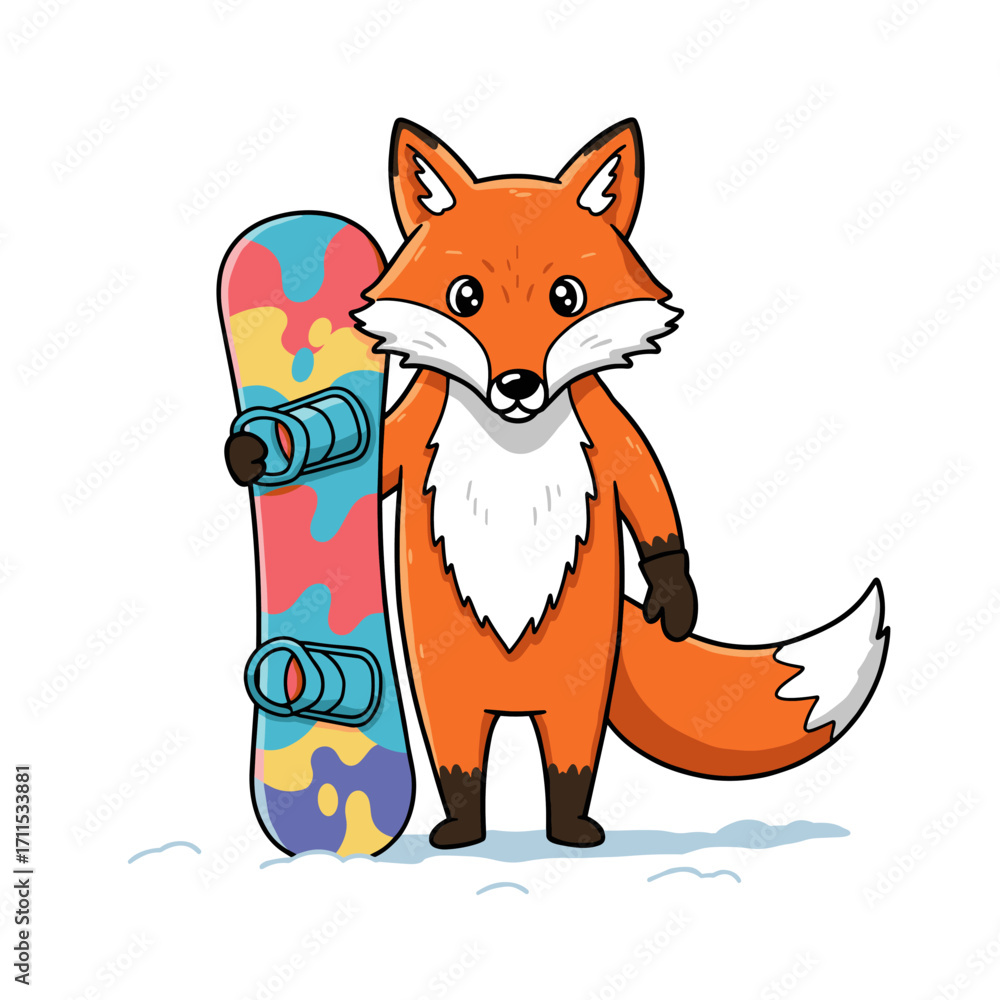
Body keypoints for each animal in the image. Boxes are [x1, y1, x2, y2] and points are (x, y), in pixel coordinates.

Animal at [226, 119, 889, 850]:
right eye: (466, 296)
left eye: (566, 297)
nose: (517, 385)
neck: (512, 442)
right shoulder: (412, 434)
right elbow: (378, 459)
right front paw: (256, 453)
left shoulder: (608, 431)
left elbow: (648, 492)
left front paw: (674, 594)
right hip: (445, 689)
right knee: (459, 760)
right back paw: (460, 828)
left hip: (576, 685)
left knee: (569, 759)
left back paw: (571, 828)